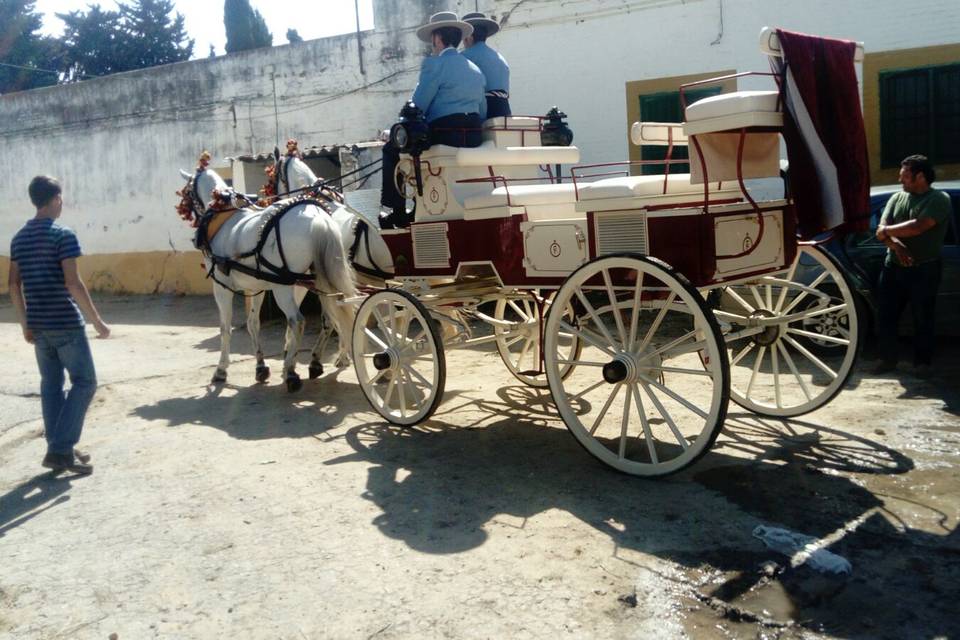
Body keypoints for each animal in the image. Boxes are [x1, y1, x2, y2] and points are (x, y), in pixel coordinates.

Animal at [176, 156, 356, 396]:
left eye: (187, 192)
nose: (189, 217)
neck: (223, 216)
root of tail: (318, 218)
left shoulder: (221, 287)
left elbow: (225, 328)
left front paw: (221, 370)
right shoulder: (255, 287)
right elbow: (253, 323)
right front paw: (261, 367)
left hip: (284, 287)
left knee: (297, 320)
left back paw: (292, 373)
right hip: (310, 282)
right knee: (335, 312)